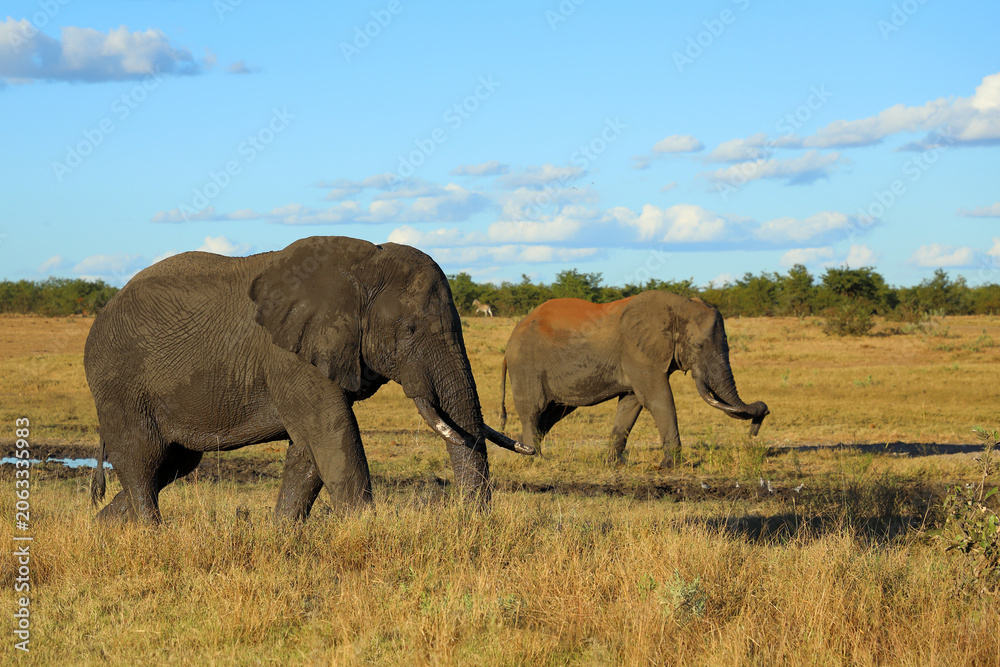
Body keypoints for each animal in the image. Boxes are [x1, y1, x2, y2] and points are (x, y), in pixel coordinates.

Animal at [85, 236, 534, 523]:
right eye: (409, 330)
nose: (467, 520)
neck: (361, 265)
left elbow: (309, 449)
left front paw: (282, 535)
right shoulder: (288, 355)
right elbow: (331, 432)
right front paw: (365, 532)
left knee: (172, 465)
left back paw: (105, 530)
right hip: (120, 385)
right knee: (143, 462)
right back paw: (150, 535)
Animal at [498, 291, 768, 468]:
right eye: (698, 346)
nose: (759, 419)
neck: (678, 308)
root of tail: (511, 338)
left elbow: (631, 404)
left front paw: (613, 464)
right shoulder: (638, 353)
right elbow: (659, 399)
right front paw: (671, 465)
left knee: (550, 415)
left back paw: (522, 451)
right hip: (526, 366)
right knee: (534, 410)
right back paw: (534, 459)